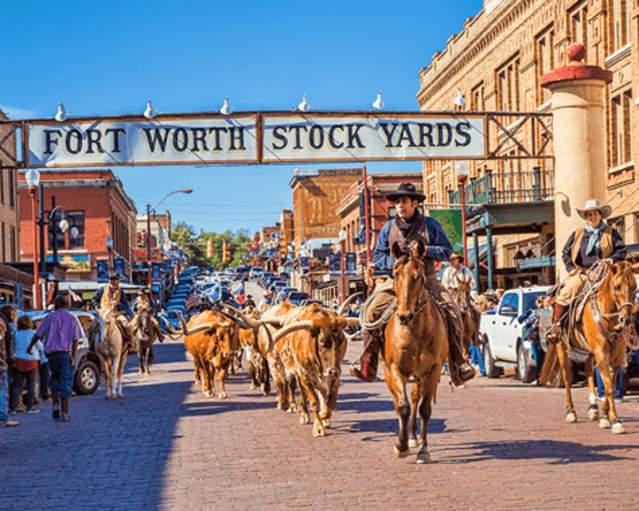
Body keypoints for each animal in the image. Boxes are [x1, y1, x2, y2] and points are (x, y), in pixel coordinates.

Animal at [384, 241, 450, 464]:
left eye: (419, 275)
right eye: (395, 273)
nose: (404, 316)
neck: (415, 331)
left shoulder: (434, 370)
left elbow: (424, 409)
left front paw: (423, 450)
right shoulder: (395, 369)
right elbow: (402, 407)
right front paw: (401, 446)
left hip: (420, 377)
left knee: (415, 400)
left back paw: (414, 437)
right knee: (399, 403)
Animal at [556, 262, 636, 434]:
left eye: (635, 286)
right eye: (617, 286)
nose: (626, 319)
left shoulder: (616, 356)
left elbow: (609, 384)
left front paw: (605, 417)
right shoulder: (601, 353)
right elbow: (608, 386)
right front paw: (615, 421)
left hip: (589, 352)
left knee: (588, 372)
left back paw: (593, 407)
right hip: (561, 348)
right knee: (567, 378)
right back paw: (570, 411)